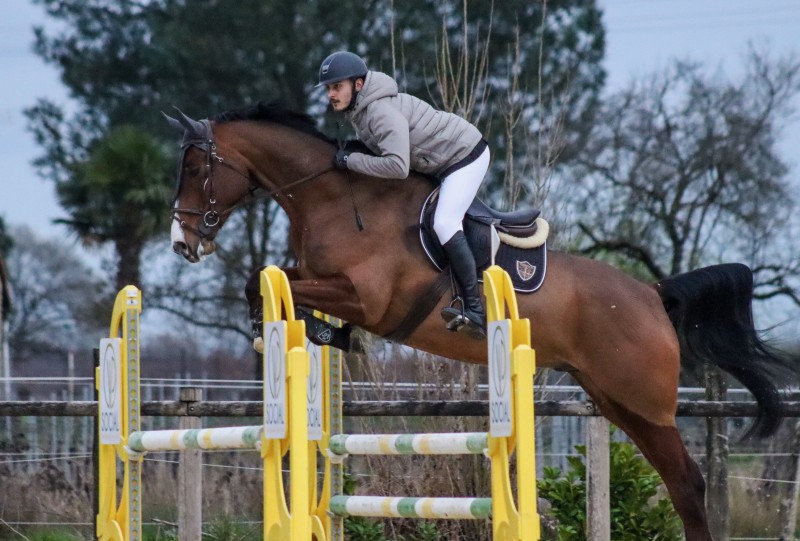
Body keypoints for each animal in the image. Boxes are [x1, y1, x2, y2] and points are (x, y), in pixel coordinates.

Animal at [165, 102, 792, 541]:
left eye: (195, 167)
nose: (181, 243)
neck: (334, 198)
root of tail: (652, 293)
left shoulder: (368, 299)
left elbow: (268, 280)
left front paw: (286, 328)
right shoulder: (325, 280)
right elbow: (273, 280)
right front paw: (316, 333)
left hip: (646, 405)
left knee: (687, 483)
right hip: (618, 403)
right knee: (679, 481)